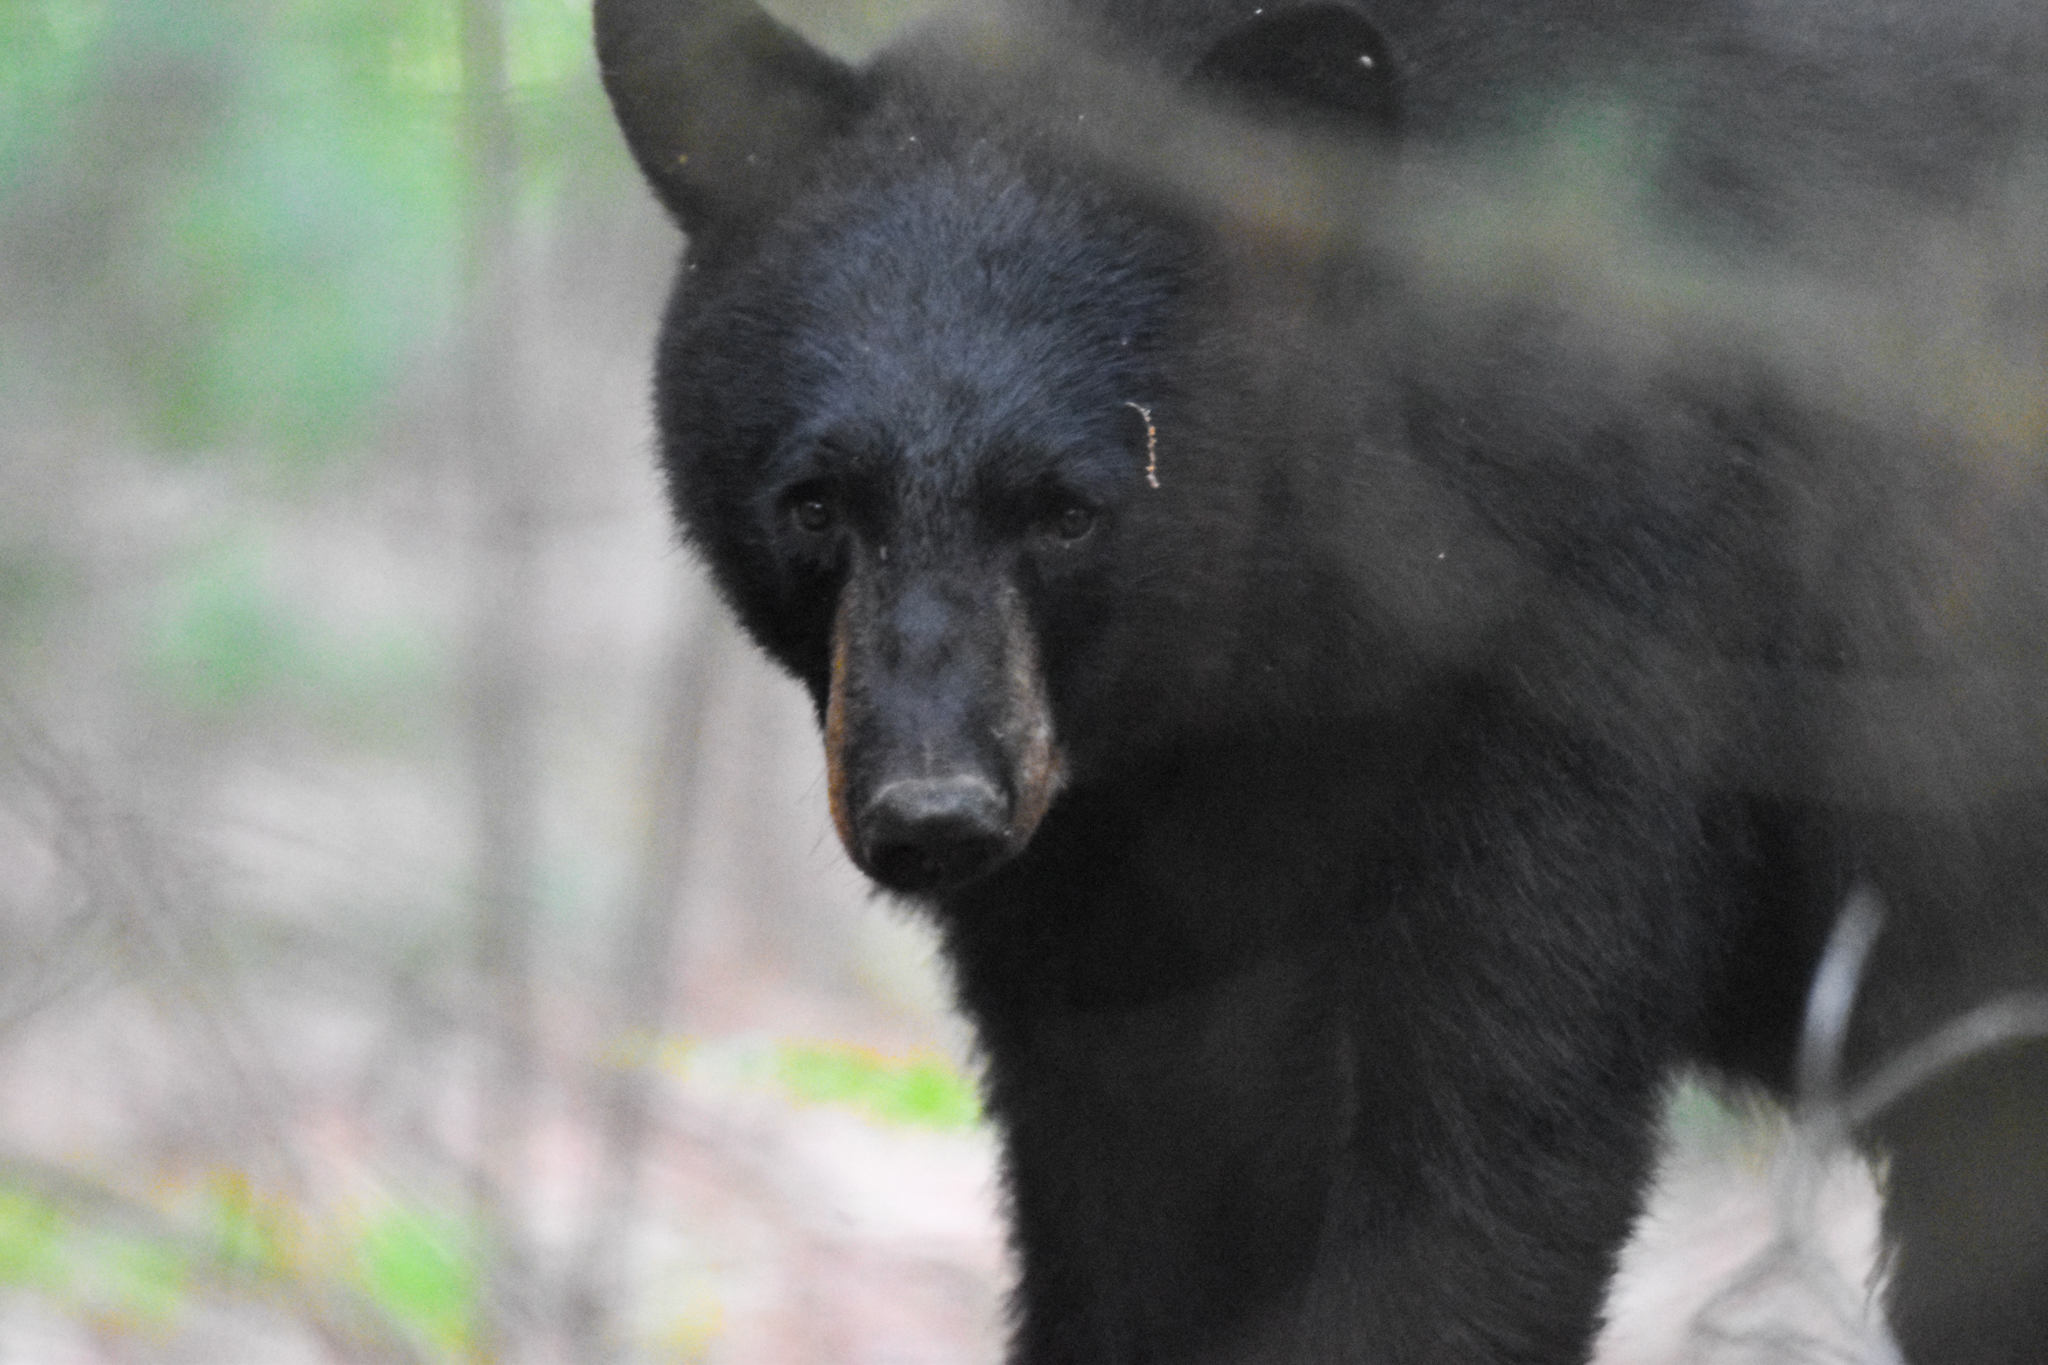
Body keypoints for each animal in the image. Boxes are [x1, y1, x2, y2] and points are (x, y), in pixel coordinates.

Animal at [593, 0, 2048, 1360]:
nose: (933, 811)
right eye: (815, 503)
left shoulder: (1602, 631)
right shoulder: (1111, 859)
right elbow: (1134, 1179)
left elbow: (1484, 1160)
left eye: (1067, 510)